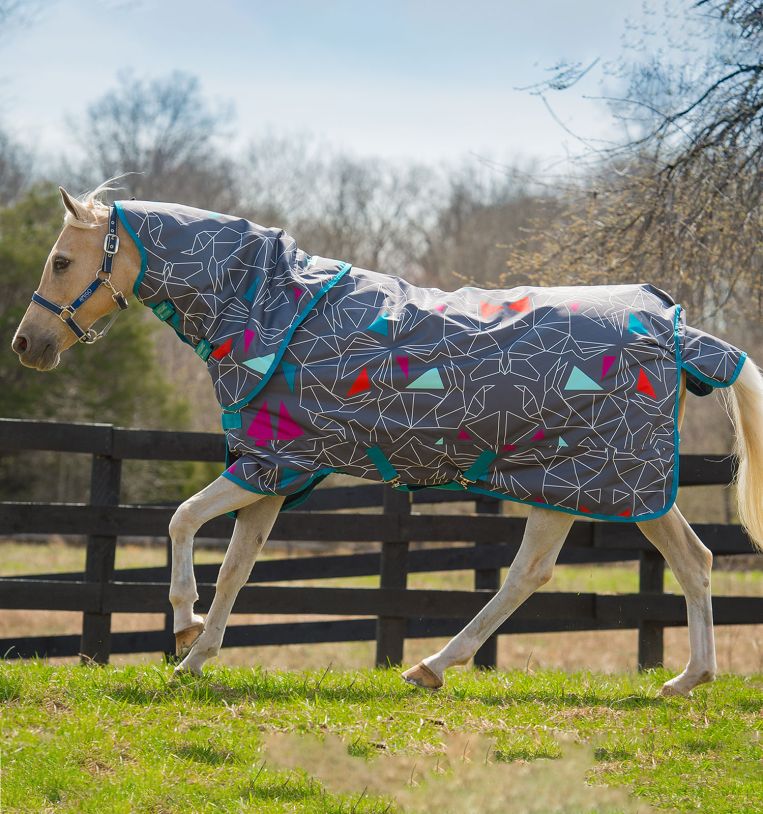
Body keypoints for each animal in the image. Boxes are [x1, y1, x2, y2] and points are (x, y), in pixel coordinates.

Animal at [12, 186, 763, 697]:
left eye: (61, 261)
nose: (27, 345)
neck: (268, 309)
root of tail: (673, 328)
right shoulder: (273, 472)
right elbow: (235, 567)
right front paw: (198, 656)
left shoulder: (269, 465)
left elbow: (179, 521)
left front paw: (182, 627)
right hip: (600, 485)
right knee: (686, 561)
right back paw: (685, 680)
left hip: (586, 479)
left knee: (535, 573)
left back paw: (431, 666)